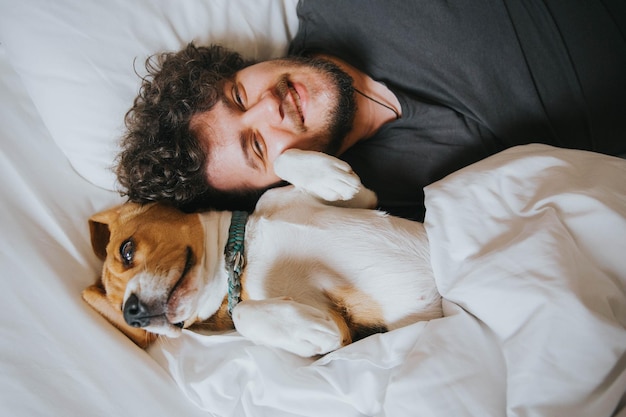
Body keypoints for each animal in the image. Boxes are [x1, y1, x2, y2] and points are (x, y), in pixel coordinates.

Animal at [83, 149, 442, 354]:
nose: (132, 313)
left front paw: (329, 176)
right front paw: (308, 330)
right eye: (129, 319)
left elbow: (283, 158)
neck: (244, 252)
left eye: (127, 250)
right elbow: (243, 314)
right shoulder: (343, 332)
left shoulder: (364, 199)